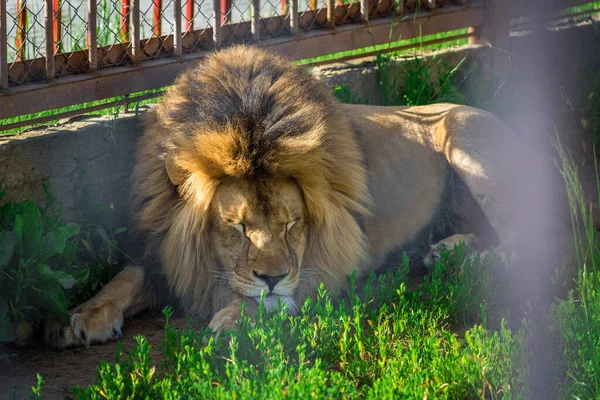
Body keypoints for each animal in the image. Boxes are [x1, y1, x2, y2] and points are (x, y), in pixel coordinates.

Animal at [44, 45, 564, 348]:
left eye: (293, 224)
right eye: (235, 225)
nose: (272, 277)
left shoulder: (323, 264)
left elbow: (267, 298)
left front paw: (234, 318)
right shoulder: (163, 246)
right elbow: (126, 278)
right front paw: (82, 316)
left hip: (464, 136)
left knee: (532, 241)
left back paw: (472, 262)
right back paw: (448, 250)